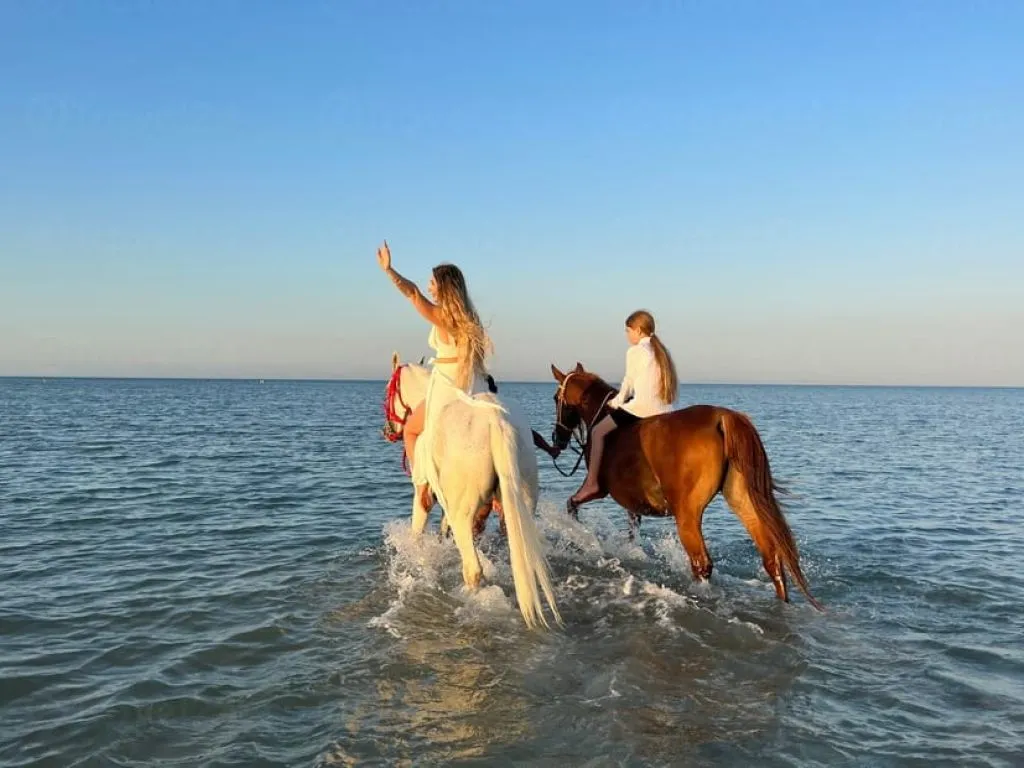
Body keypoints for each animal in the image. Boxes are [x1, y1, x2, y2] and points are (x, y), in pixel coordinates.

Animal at [382, 353, 562, 628]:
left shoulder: (424, 493)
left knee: (473, 569)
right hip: (520, 506)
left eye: (388, 391)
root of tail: (496, 421)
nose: (388, 430)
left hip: (463, 514)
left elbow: (417, 532)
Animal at [550, 363, 822, 610]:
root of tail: (723, 417)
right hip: (743, 501)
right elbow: (632, 533)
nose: (557, 439)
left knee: (702, 564)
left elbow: (572, 504)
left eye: (555, 399)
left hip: (687, 515)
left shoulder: (597, 491)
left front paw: (577, 534)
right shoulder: (634, 504)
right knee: (771, 557)